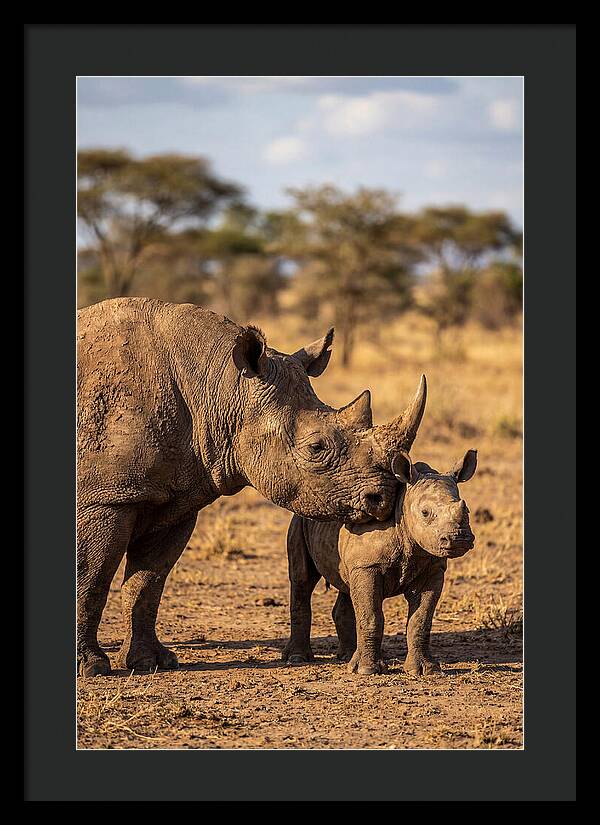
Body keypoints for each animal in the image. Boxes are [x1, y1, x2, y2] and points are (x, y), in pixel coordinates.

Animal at [77, 298, 425, 676]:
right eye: (316, 448)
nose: (383, 498)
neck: (222, 387)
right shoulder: (106, 498)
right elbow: (91, 576)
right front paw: (92, 667)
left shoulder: (176, 499)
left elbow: (147, 583)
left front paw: (150, 662)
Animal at [282, 435, 478, 677]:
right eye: (425, 513)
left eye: (466, 510)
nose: (459, 539)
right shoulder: (368, 566)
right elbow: (371, 616)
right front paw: (367, 670)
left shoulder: (432, 568)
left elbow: (421, 620)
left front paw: (425, 670)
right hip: (299, 520)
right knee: (302, 580)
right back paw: (298, 658)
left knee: (347, 586)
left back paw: (348, 657)